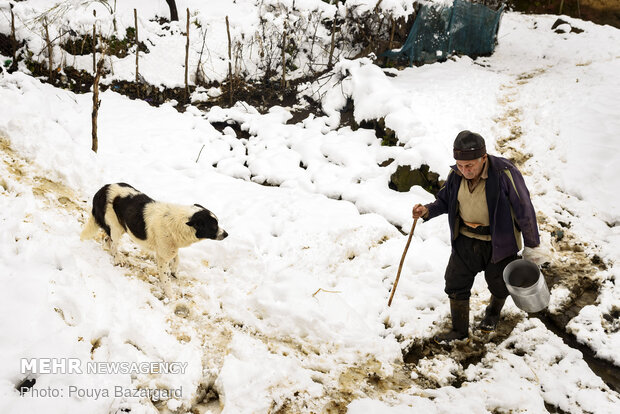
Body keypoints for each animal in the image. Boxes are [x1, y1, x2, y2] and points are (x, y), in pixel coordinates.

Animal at [81, 183, 228, 296]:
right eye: (214, 226)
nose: (226, 234)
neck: (180, 223)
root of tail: (103, 189)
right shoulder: (162, 256)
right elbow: (166, 279)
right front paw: (170, 295)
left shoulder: (170, 249)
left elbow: (177, 259)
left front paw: (174, 271)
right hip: (116, 228)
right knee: (113, 243)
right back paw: (117, 258)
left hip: (121, 228)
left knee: (108, 240)